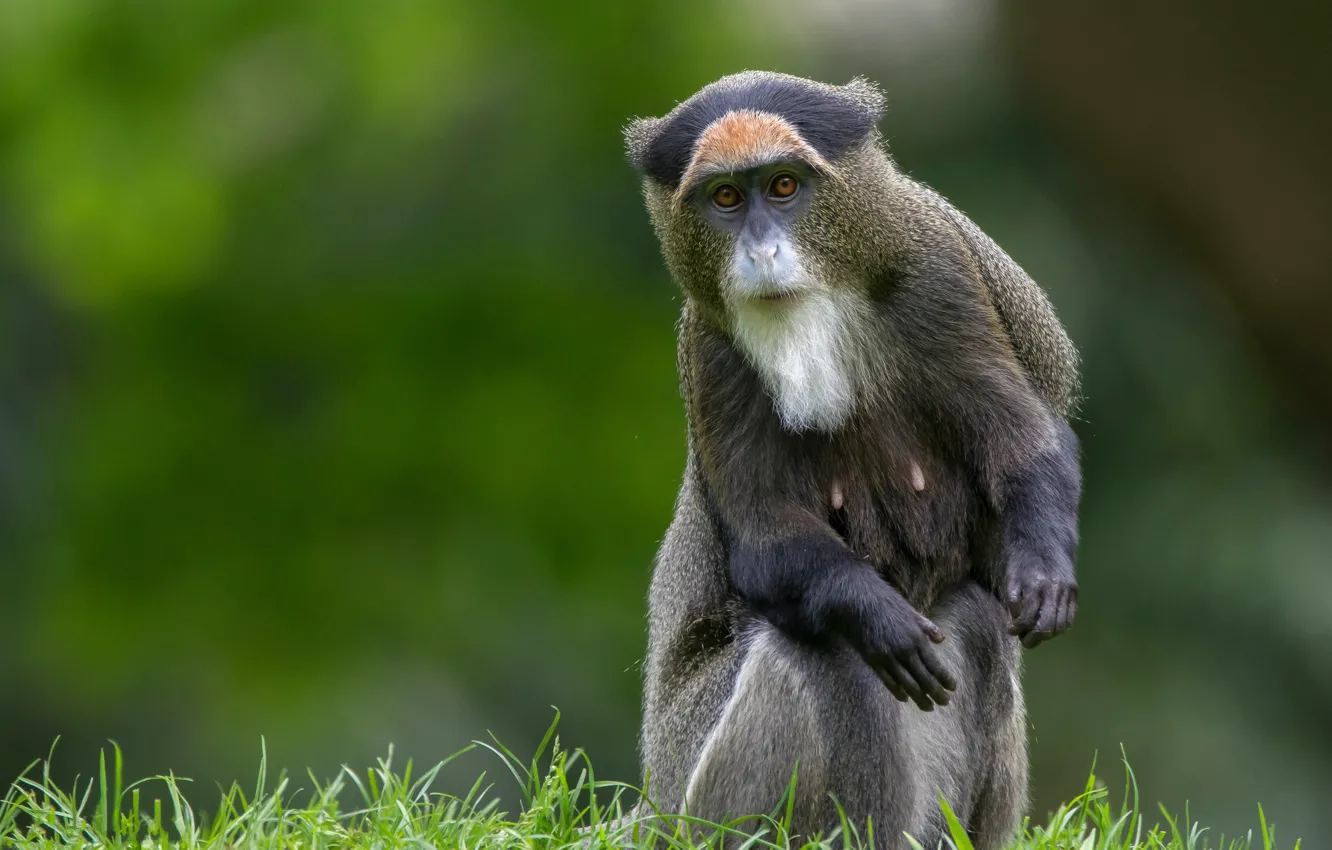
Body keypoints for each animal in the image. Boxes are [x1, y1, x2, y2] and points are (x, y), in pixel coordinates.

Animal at [622, 71, 1081, 848]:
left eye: (784, 186)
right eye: (725, 198)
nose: (762, 253)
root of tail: (653, 808)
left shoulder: (938, 273)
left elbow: (1025, 447)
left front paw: (1043, 567)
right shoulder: (708, 349)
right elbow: (769, 539)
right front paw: (875, 612)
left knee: (978, 625)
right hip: (694, 804)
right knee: (810, 649)